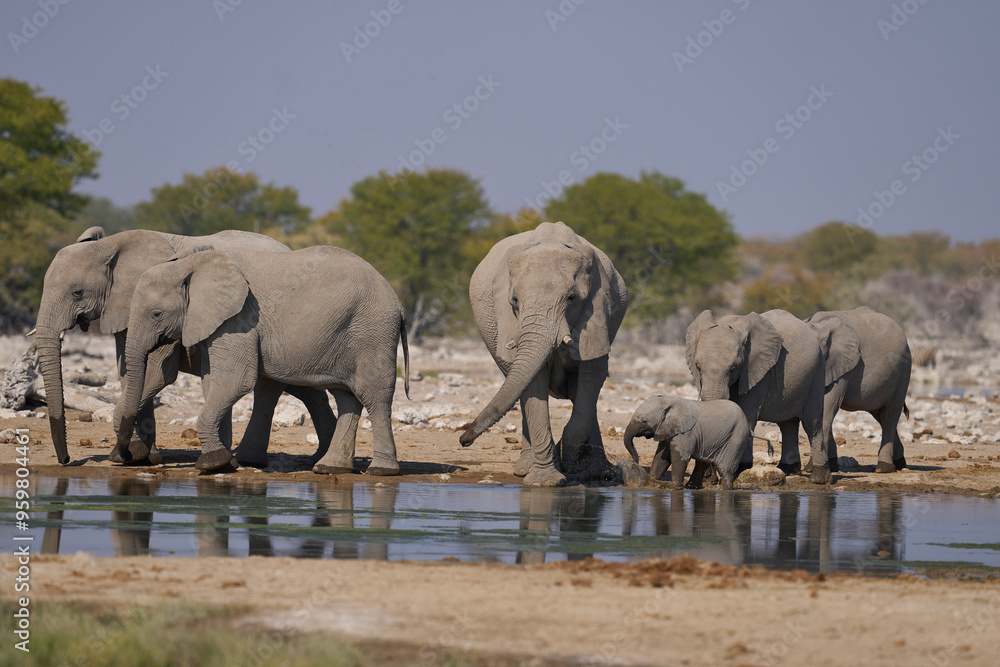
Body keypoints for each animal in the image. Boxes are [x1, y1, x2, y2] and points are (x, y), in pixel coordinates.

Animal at [32, 226, 337, 467]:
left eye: (77, 293)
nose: (65, 460)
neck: (111, 244)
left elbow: (157, 372)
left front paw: (132, 455)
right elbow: (129, 373)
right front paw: (144, 457)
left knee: (270, 387)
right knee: (306, 390)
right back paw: (317, 458)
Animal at [115, 245, 409, 474]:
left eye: (156, 314)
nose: (126, 456)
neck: (191, 265)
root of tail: (398, 302)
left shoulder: (239, 320)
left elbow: (234, 381)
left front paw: (213, 463)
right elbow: (213, 380)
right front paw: (225, 462)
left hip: (373, 332)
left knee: (375, 396)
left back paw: (381, 471)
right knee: (347, 397)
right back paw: (330, 468)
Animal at [459, 222, 628, 487]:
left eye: (571, 298)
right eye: (514, 300)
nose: (463, 440)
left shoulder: (601, 314)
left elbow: (592, 375)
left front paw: (573, 464)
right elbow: (534, 381)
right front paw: (545, 481)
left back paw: (598, 473)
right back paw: (525, 469)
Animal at [685, 309, 831, 484]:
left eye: (733, 369)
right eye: (698, 367)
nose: (710, 478)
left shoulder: (758, 371)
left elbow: (746, 416)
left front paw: (739, 471)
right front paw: (710, 479)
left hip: (817, 371)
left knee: (811, 423)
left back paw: (818, 478)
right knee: (788, 424)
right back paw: (787, 469)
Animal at [806, 307, 912, 473]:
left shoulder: (843, 367)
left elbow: (827, 405)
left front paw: (811, 468)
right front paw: (831, 465)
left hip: (903, 371)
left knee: (890, 414)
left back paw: (884, 468)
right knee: (880, 415)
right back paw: (900, 463)